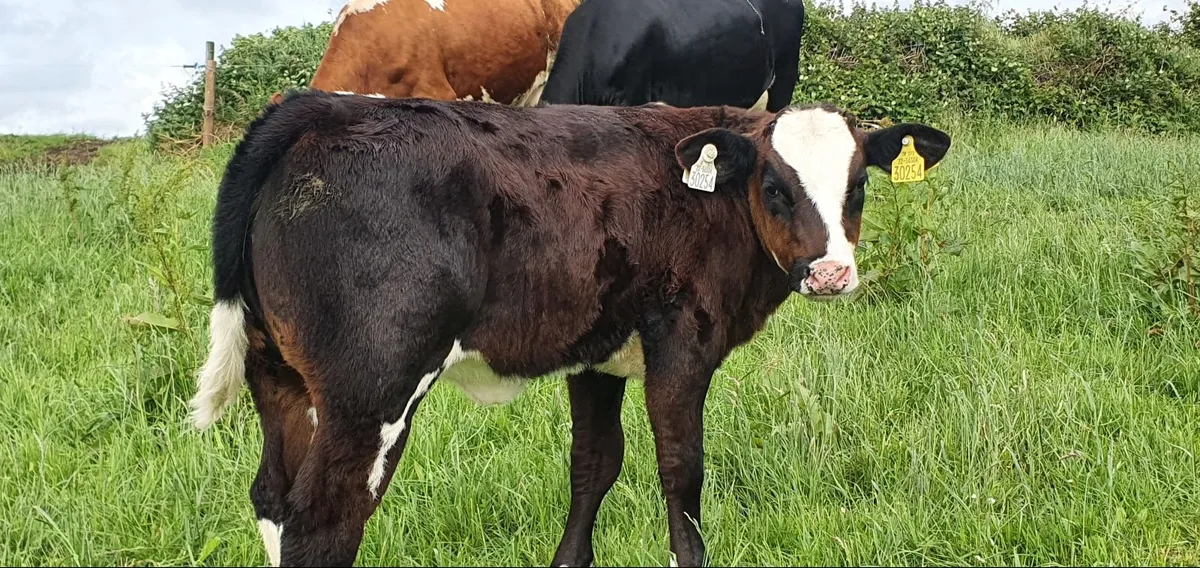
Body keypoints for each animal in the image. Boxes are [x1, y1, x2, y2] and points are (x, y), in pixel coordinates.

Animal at [188, 91, 950, 566]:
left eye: (858, 186)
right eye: (774, 187)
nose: (831, 274)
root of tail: (317, 108)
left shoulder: (597, 353)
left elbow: (593, 465)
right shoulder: (683, 343)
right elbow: (681, 473)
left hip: (279, 373)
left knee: (273, 497)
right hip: (371, 388)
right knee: (324, 520)